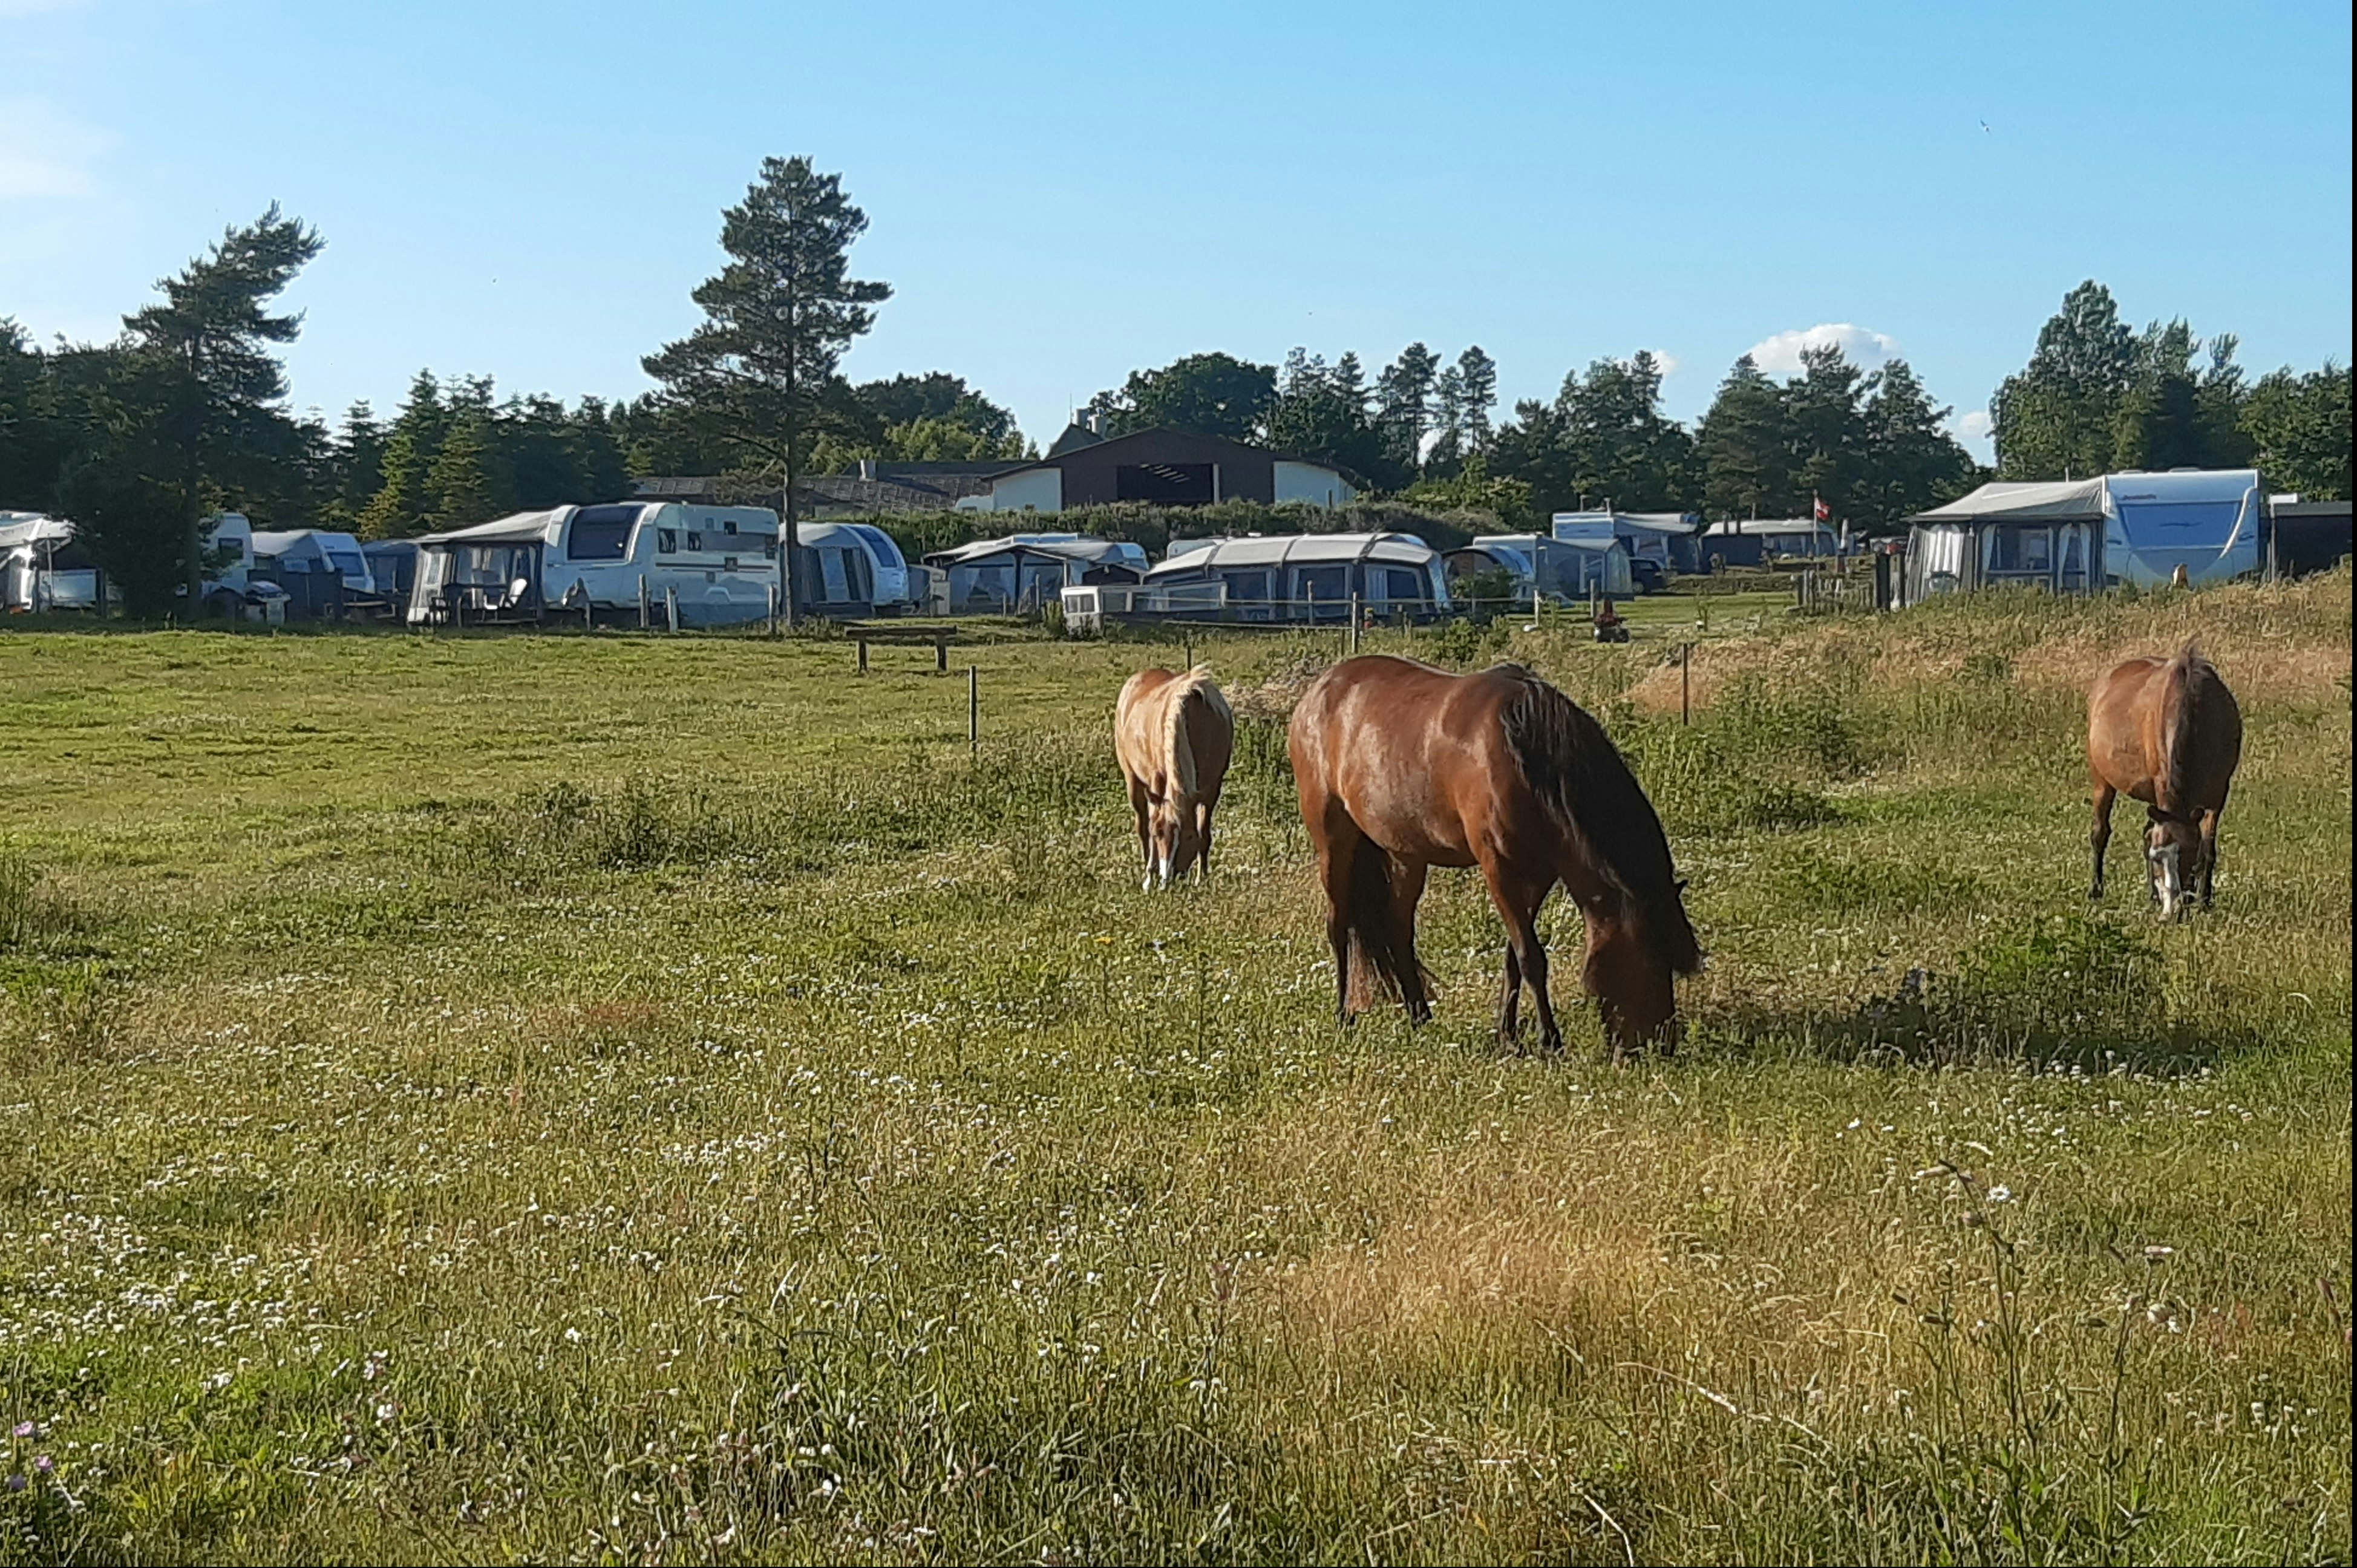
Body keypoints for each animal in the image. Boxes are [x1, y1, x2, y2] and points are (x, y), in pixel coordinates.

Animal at [1114, 665, 1235, 889]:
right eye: (1158, 834)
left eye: (1188, 836)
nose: (1167, 879)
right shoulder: (1156, 783)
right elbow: (1151, 823)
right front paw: (1150, 875)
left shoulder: (1212, 790)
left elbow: (1205, 834)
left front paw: (1201, 877)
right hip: (1133, 781)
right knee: (1142, 825)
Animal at [1287, 655, 1702, 1064]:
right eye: (1649, 961)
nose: (1662, 1047)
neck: (1524, 755)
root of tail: (1316, 692)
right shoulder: (1499, 870)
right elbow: (1531, 958)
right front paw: (1550, 1042)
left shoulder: (1538, 876)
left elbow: (1513, 957)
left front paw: (1508, 1036)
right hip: (1334, 841)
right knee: (1339, 925)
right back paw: (1344, 1016)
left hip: (1406, 854)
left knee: (1398, 930)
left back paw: (1420, 1016)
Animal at [2086, 645, 2242, 920]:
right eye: (2157, 859)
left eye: (2188, 855)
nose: (2172, 912)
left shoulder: (2218, 793)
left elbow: (2207, 848)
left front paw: (2203, 900)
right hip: (2102, 780)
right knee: (2100, 832)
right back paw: (2097, 890)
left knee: (2147, 830)